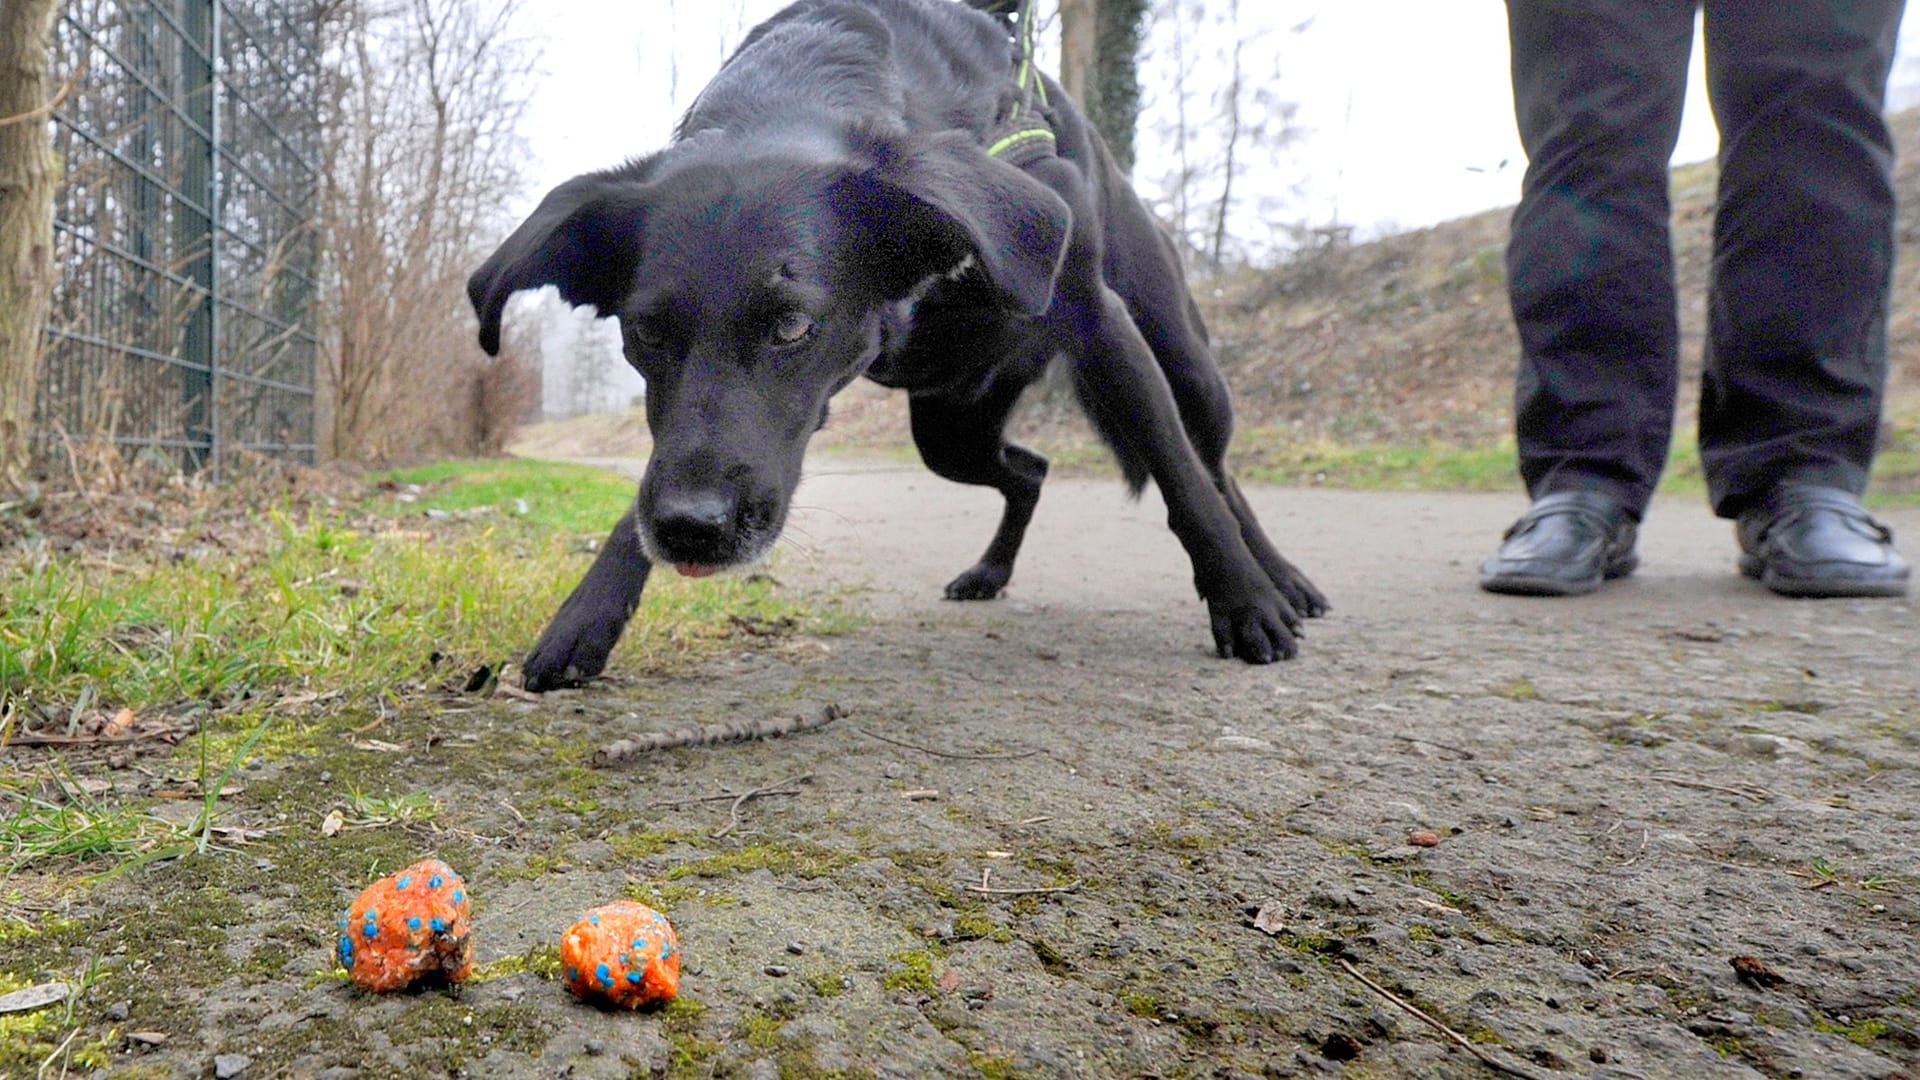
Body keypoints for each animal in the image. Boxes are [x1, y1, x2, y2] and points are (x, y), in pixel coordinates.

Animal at [472, 2, 1328, 687]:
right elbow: (654, 475)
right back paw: (991, 570)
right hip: (949, 431)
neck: (802, 81)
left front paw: (1245, 603)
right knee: (1030, 471)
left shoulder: (1096, 315)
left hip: (1182, 364)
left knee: (1213, 467)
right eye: (645, 331)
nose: (690, 529)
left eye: (792, 325)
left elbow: (1181, 480)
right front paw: (586, 616)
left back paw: (1281, 577)